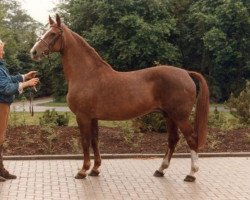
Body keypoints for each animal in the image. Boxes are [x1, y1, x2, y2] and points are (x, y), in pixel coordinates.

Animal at [29, 14, 209, 182]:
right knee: (173, 139)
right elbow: (95, 141)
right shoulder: (93, 118)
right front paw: (95, 169)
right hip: (169, 115)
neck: (87, 74)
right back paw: (160, 170)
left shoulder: (83, 117)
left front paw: (83, 170)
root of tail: (186, 73)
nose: (33, 52)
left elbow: (85, 142)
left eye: (52, 34)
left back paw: (191, 174)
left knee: (191, 139)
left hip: (179, 117)